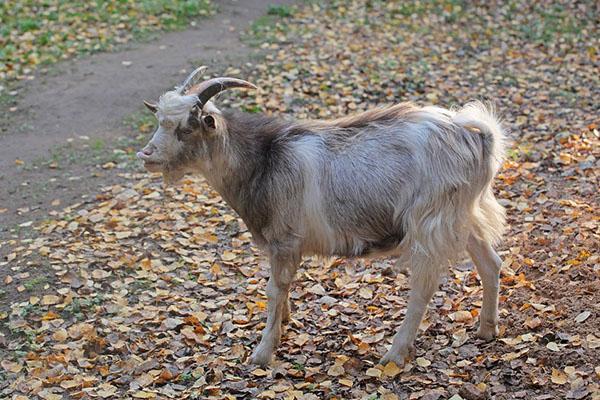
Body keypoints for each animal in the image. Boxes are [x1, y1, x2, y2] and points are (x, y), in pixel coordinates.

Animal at [139, 67, 506, 368]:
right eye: (159, 121)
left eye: (187, 127)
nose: (146, 155)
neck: (264, 160)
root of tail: (475, 135)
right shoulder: (281, 247)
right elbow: (282, 289)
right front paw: (283, 325)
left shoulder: (285, 240)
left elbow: (274, 289)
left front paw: (263, 352)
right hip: (461, 217)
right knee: (490, 262)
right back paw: (486, 329)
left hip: (429, 223)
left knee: (423, 287)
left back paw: (395, 353)